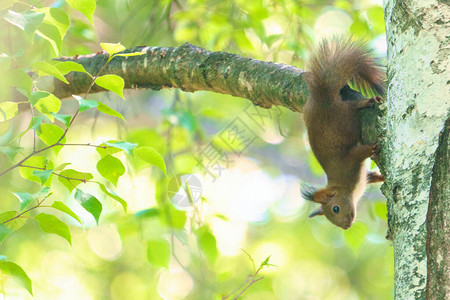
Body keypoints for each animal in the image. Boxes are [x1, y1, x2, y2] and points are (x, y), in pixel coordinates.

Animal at [300, 38, 384, 230]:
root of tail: (323, 99)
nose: (346, 226)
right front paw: (380, 176)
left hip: (344, 115)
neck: (345, 187)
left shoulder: (349, 160)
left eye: (335, 209)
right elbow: (371, 176)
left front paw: (372, 148)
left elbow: (358, 152)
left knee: (354, 105)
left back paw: (368, 101)